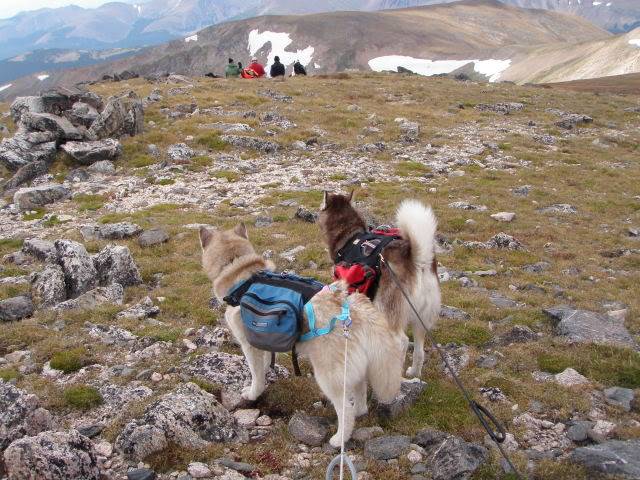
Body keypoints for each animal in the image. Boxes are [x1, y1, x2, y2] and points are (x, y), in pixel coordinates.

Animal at [198, 224, 404, 446]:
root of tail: (356, 311)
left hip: (329, 377)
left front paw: (253, 393)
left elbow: (256, 374)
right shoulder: (262, 342)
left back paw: (340, 438)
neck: (240, 273)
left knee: (345, 410)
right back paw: (359, 412)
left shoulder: (248, 345)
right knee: (360, 398)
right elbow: (264, 367)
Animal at [318, 192, 440, 378]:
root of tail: (419, 261)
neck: (349, 236)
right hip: (422, 318)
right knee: (419, 351)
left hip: (388, 309)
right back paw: (413, 373)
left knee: (402, 342)